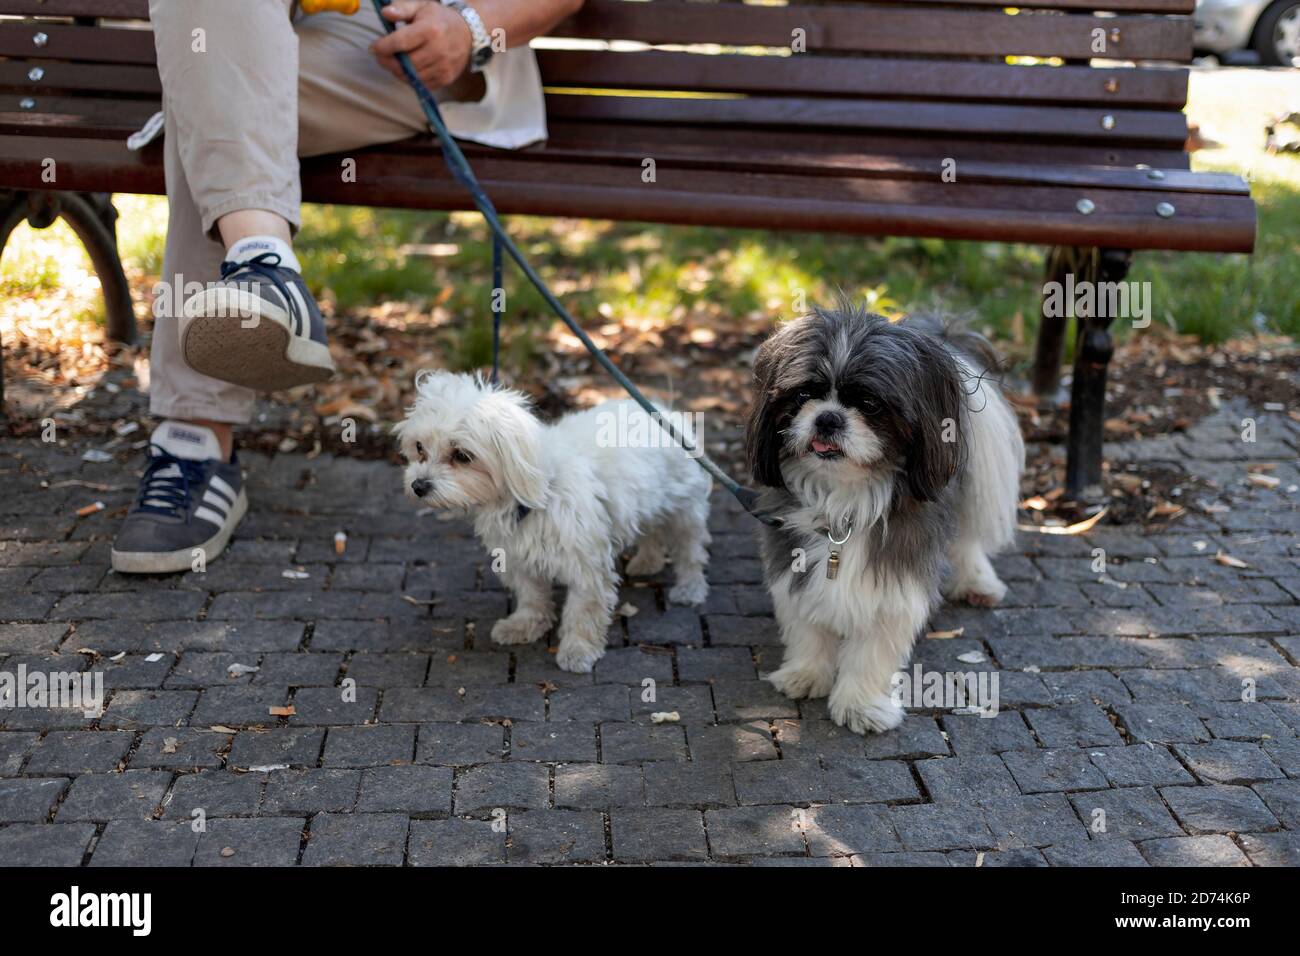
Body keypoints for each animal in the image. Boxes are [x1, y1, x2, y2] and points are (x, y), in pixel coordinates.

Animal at [392, 369, 712, 676]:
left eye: (461, 455)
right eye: (419, 447)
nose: (418, 486)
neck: (533, 494)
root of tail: (664, 412)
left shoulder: (586, 566)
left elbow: (583, 612)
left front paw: (578, 650)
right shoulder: (517, 556)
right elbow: (531, 596)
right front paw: (524, 625)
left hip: (685, 511)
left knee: (690, 551)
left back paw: (690, 588)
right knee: (652, 532)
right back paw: (648, 561)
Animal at [748, 306, 1019, 733]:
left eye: (870, 403)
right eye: (804, 394)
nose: (827, 418)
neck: (844, 499)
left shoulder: (897, 580)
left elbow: (873, 648)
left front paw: (860, 704)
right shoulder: (792, 557)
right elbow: (808, 622)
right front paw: (806, 673)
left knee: (966, 541)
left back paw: (978, 581)